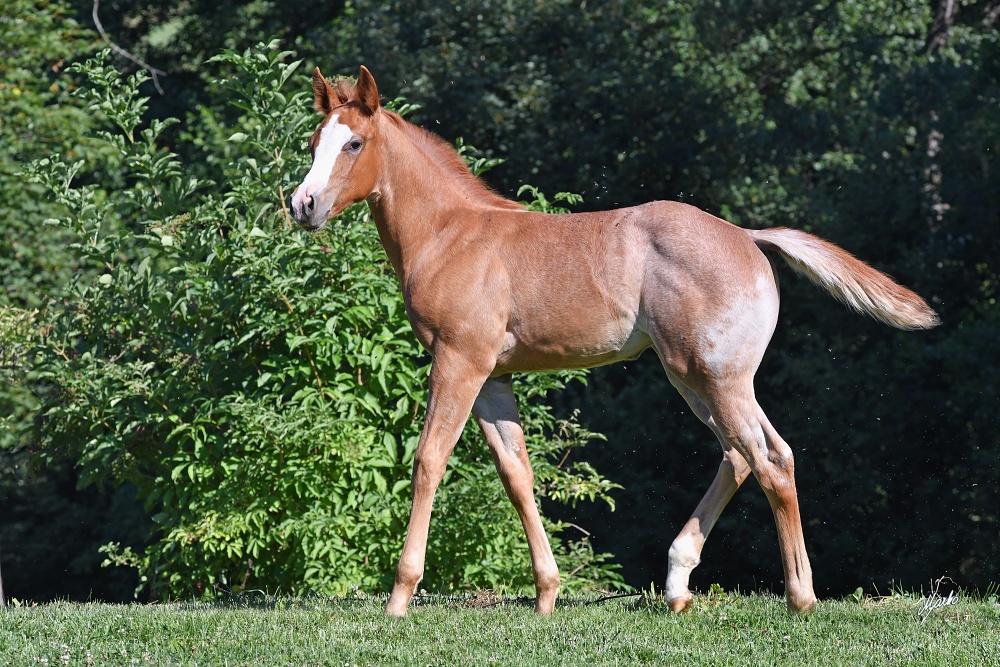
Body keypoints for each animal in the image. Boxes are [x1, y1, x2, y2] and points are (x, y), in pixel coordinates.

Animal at [288, 66, 936, 616]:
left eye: (353, 144)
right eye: (315, 141)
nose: (302, 205)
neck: (451, 233)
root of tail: (748, 237)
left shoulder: (458, 361)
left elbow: (429, 460)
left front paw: (400, 597)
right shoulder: (494, 377)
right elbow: (517, 473)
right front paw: (547, 595)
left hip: (716, 377)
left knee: (770, 458)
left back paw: (799, 596)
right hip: (694, 378)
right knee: (740, 455)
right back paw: (677, 584)